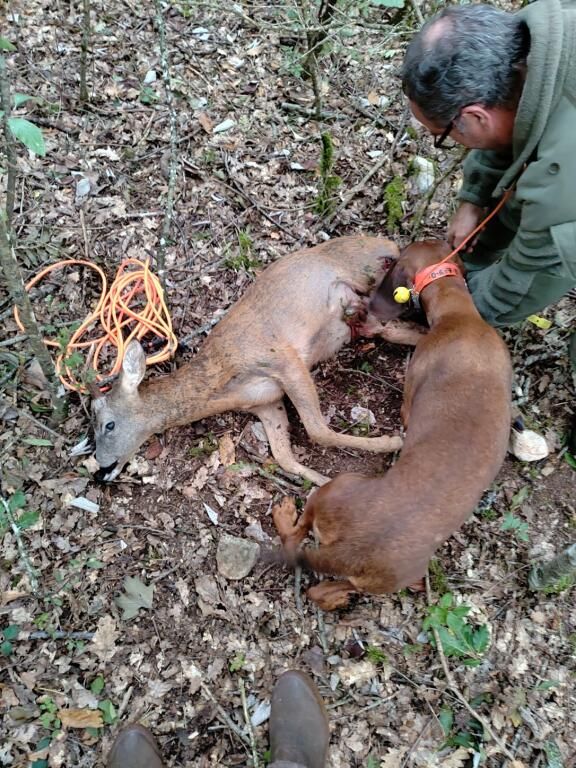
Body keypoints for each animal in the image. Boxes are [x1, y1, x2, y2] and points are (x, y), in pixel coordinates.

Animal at [274, 243, 512, 608]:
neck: (460, 313)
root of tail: (352, 551)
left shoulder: (409, 402)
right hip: (382, 576)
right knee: (321, 589)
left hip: (333, 489)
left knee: (294, 539)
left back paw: (284, 514)